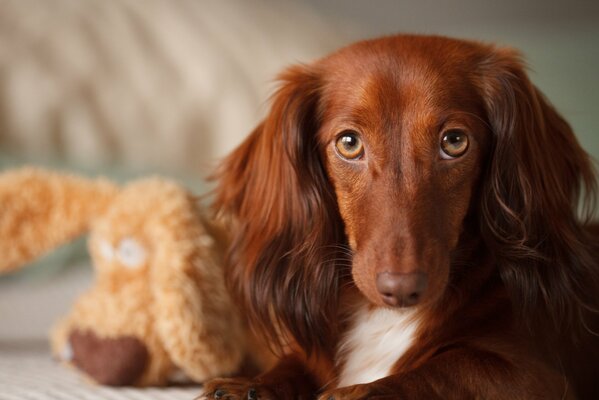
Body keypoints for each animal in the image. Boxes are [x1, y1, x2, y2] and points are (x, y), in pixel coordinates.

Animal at [204, 34, 596, 400]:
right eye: (349, 143)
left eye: (454, 141)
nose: (402, 288)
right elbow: (293, 364)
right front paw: (252, 384)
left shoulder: (536, 375)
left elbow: (448, 369)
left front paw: (361, 391)